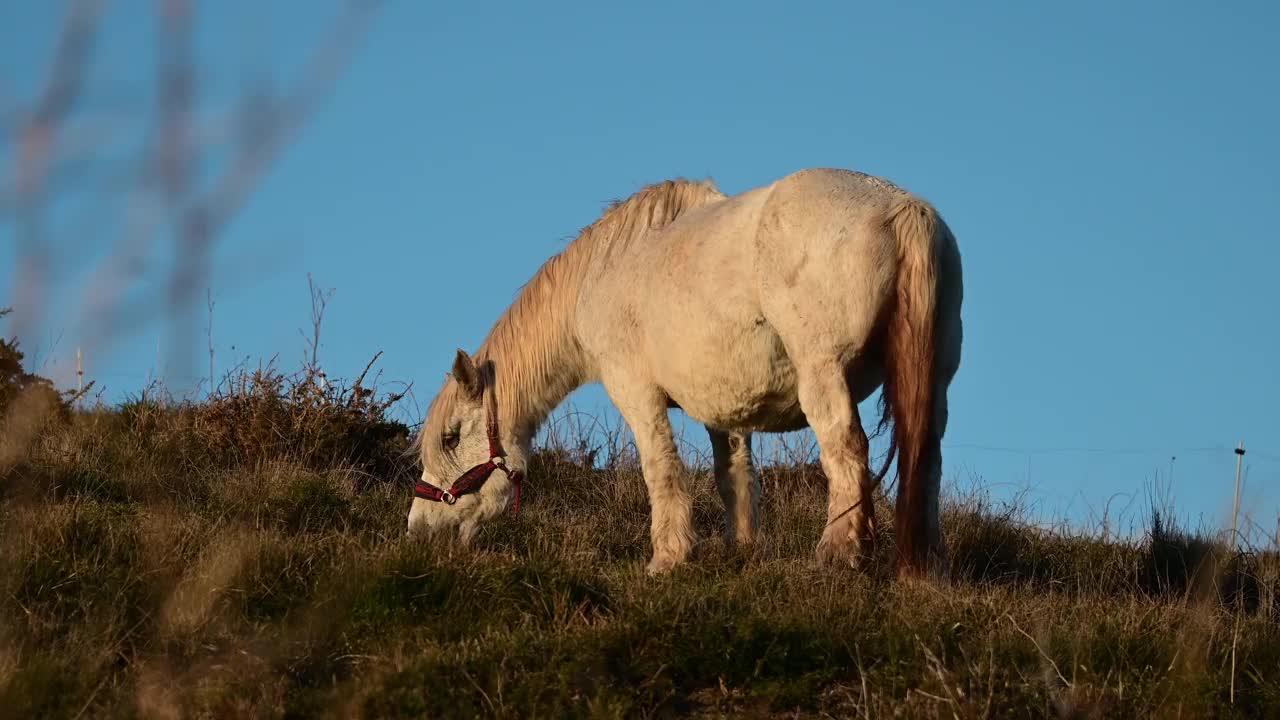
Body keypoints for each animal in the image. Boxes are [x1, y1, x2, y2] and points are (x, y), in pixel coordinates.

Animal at [409, 165, 962, 573]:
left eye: (452, 437)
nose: (420, 530)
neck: (605, 269)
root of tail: (900, 207)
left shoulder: (636, 392)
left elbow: (662, 469)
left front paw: (669, 559)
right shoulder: (727, 407)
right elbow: (735, 477)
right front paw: (741, 551)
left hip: (823, 375)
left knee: (847, 452)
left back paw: (836, 555)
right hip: (934, 383)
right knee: (928, 459)